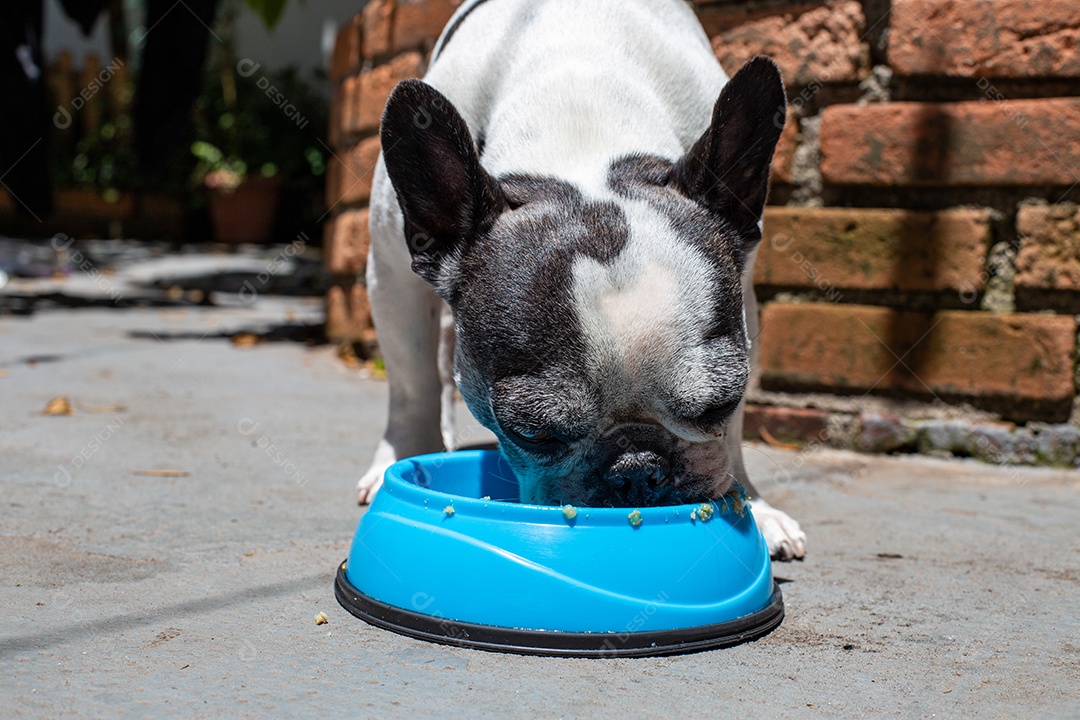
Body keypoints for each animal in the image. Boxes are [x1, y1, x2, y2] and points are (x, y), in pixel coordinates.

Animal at [349, 0, 807, 561]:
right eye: (533, 434)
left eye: (719, 403)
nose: (637, 467)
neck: (581, 130)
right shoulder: (391, 273)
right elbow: (410, 382)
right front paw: (403, 456)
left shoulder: (743, 303)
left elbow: (735, 432)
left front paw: (756, 506)